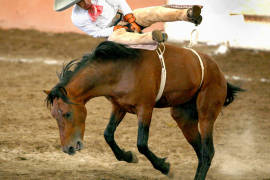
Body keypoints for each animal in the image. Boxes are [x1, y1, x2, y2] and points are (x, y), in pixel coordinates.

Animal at [43, 41, 243, 179]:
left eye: (67, 114)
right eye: (54, 116)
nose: (68, 148)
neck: (122, 69)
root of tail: (218, 72)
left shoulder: (145, 108)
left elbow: (141, 143)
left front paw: (165, 167)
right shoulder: (119, 106)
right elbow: (108, 134)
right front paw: (128, 156)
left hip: (206, 114)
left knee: (208, 151)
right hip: (183, 117)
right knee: (201, 151)